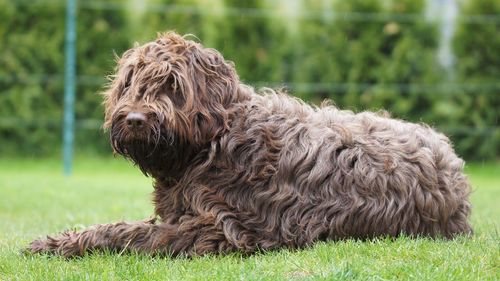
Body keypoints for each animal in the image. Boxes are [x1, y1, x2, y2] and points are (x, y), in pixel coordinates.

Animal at [27, 32, 472, 256]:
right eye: (130, 83)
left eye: (173, 86)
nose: (135, 119)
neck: (214, 142)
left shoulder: (223, 229)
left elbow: (133, 234)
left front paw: (65, 242)